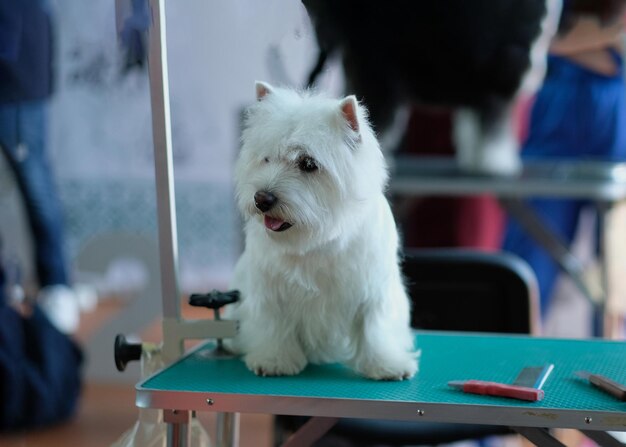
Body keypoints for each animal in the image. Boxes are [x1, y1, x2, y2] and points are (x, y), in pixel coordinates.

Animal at [223, 81, 414, 382]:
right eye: (266, 158)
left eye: (308, 164)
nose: (262, 199)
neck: (317, 240)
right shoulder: (269, 292)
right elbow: (273, 325)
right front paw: (274, 360)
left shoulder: (373, 290)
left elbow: (374, 327)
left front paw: (385, 365)